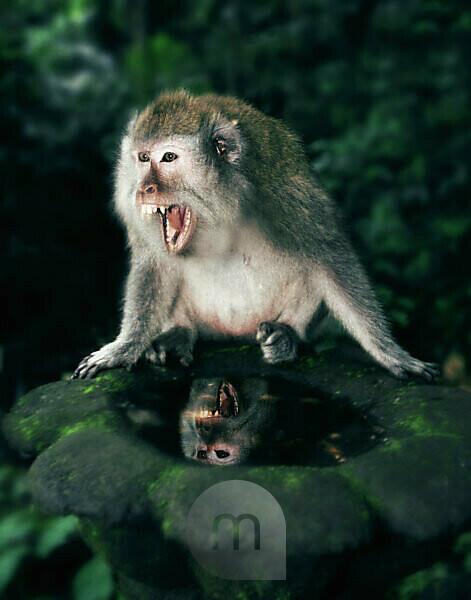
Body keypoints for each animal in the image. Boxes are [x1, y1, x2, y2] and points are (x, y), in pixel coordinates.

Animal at [72, 89, 440, 380]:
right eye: (143, 157)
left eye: (169, 157)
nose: (144, 188)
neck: (221, 206)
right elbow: (154, 267)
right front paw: (123, 348)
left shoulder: (283, 194)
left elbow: (330, 255)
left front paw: (391, 354)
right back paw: (178, 333)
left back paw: (286, 336)